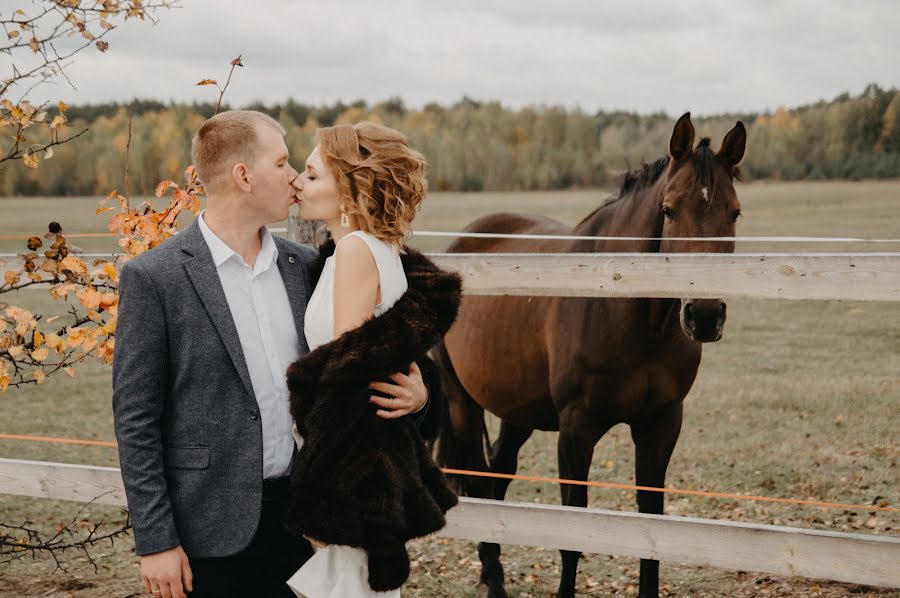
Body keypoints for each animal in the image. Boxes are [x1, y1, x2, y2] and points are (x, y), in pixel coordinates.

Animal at [432, 113, 748, 598]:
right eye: (669, 209)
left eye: (734, 212)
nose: (705, 315)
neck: (625, 309)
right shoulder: (576, 429)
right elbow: (573, 533)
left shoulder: (661, 424)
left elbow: (652, 525)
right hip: (460, 402)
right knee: (478, 480)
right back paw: (496, 582)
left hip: (518, 411)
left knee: (499, 478)